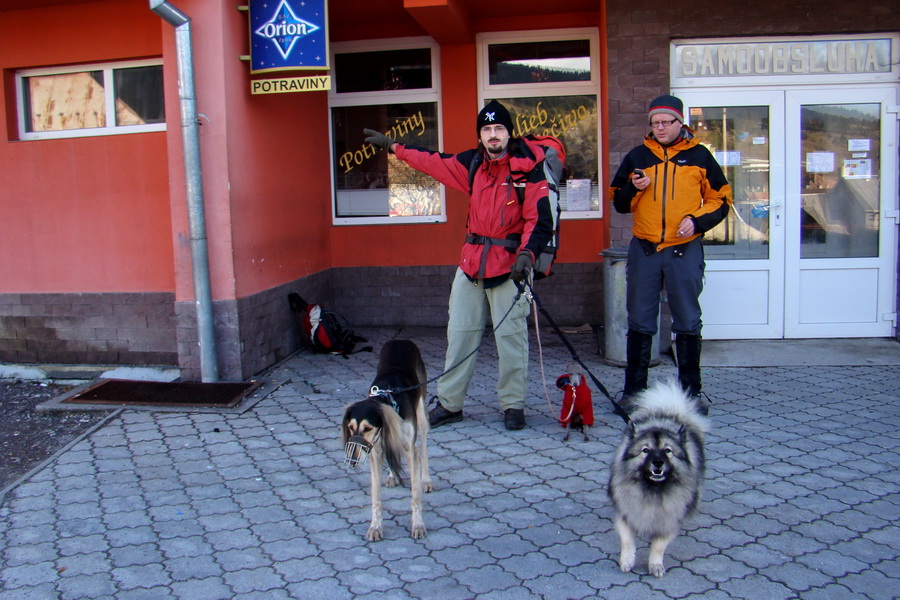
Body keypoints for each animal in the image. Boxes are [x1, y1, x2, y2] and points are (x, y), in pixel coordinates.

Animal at [342, 340, 432, 540]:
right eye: (350, 427)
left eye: (367, 428)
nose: (352, 462)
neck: (387, 397)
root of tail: (402, 340)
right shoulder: (375, 452)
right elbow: (376, 496)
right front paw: (375, 527)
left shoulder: (410, 449)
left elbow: (415, 495)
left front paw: (418, 525)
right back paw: (392, 475)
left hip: (422, 413)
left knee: (424, 448)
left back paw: (426, 480)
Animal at [608, 380, 708, 576]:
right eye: (645, 450)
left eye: (668, 450)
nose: (658, 462)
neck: (653, 489)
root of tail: (670, 412)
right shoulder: (626, 511)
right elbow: (627, 539)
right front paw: (627, 560)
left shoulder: (669, 519)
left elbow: (659, 545)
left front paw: (655, 565)